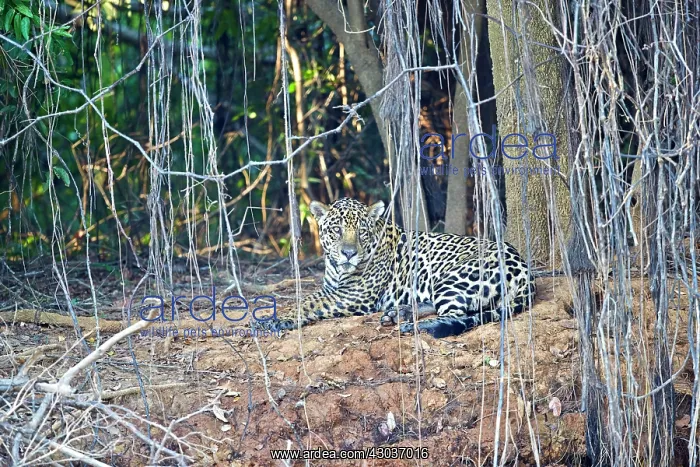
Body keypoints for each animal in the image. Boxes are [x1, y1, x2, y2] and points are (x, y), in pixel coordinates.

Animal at [261, 197, 536, 338]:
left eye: (361, 232)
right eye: (336, 229)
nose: (348, 253)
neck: (338, 268)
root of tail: (524, 267)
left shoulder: (352, 295)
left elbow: (308, 302)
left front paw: (276, 320)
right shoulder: (334, 288)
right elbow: (307, 297)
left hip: (454, 277)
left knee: (458, 316)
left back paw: (414, 326)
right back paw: (398, 313)